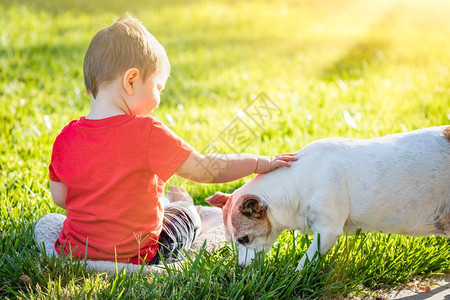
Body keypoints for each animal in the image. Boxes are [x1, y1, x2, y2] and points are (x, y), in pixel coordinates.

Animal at [206, 125, 448, 270]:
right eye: (231, 242)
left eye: (244, 239)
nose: (240, 268)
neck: (298, 182)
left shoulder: (327, 231)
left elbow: (305, 260)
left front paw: (295, 277)